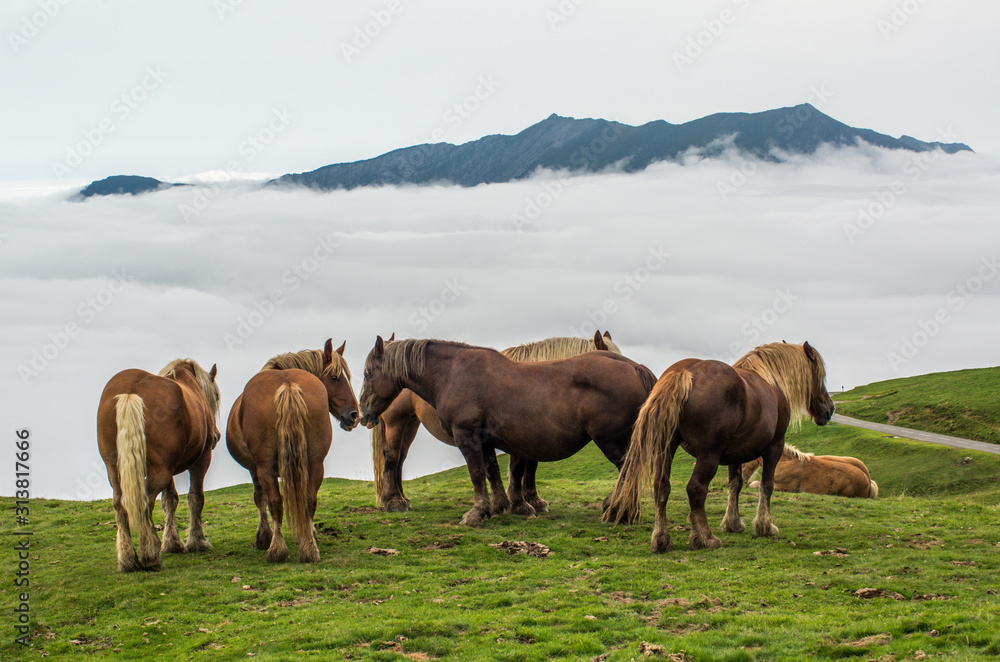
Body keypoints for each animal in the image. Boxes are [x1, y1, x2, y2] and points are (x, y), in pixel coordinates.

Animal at [97, 360, 221, 572]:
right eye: (215, 397)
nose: (215, 436)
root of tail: (131, 391)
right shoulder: (202, 460)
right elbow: (195, 498)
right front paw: (197, 541)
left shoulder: (168, 469)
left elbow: (169, 500)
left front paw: (172, 542)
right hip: (161, 471)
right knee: (145, 502)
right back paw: (150, 555)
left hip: (115, 468)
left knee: (120, 504)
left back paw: (128, 559)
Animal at [229, 342, 362, 564]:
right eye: (335, 377)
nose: (355, 415)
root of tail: (288, 384)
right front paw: (309, 533)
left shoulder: (255, 469)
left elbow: (260, 498)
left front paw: (264, 537)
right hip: (316, 463)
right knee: (309, 498)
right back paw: (309, 548)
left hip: (265, 467)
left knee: (275, 501)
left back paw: (277, 549)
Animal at [358, 340, 656, 528]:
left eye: (367, 372)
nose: (363, 411)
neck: (453, 374)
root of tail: (633, 366)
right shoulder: (486, 439)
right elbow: (493, 471)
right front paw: (501, 506)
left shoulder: (468, 437)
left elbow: (479, 474)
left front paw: (478, 512)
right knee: (395, 459)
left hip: (612, 442)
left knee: (628, 469)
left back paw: (618, 508)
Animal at [604, 342, 832, 556]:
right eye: (820, 375)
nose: (829, 409)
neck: (771, 382)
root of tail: (684, 372)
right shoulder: (774, 447)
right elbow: (767, 486)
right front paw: (765, 526)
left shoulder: (736, 455)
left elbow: (735, 485)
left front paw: (733, 523)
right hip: (708, 456)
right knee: (696, 489)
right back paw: (705, 538)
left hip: (666, 449)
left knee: (661, 487)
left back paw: (662, 540)